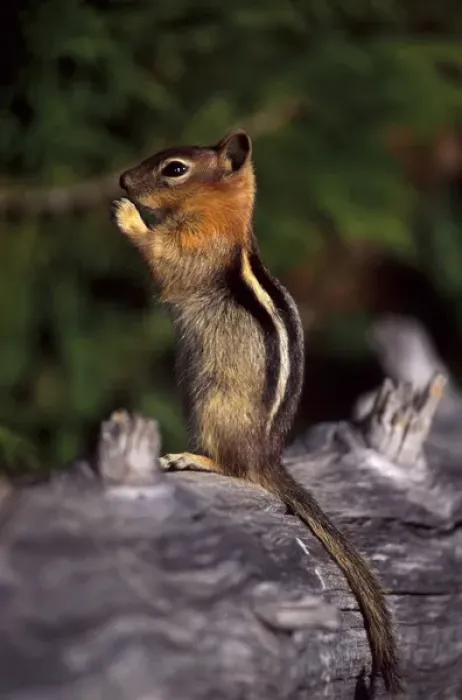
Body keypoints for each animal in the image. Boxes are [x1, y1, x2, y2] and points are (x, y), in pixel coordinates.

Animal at [111, 129, 403, 696]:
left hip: (212, 406)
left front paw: (128, 216)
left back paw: (193, 459)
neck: (223, 218)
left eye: (174, 168)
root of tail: (267, 456)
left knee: (234, 469)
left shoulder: (195, 250)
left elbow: (164, 261)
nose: (122, 180)